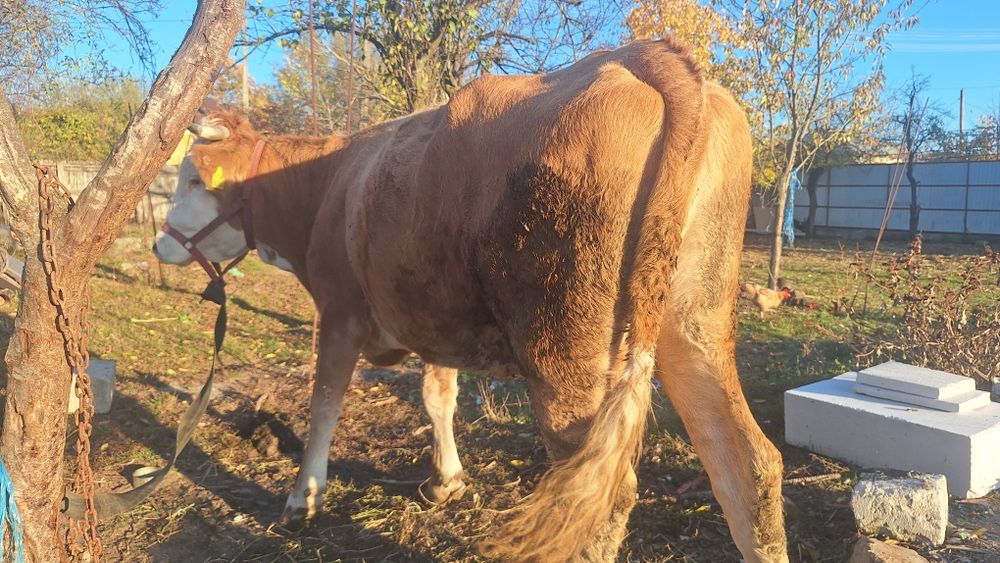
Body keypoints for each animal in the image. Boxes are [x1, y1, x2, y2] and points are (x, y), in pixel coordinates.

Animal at [153, 39, 788, 562]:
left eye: (191, 179)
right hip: (693, 321)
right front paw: (448, 479)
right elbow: (439, 396)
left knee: (593, 502)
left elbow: (325, 403)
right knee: (749, 466)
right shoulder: (434, 313)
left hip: (565, 351)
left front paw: (303, 499)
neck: (331, 183)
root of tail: (642, 54)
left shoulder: (339, 308)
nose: (161, 243)